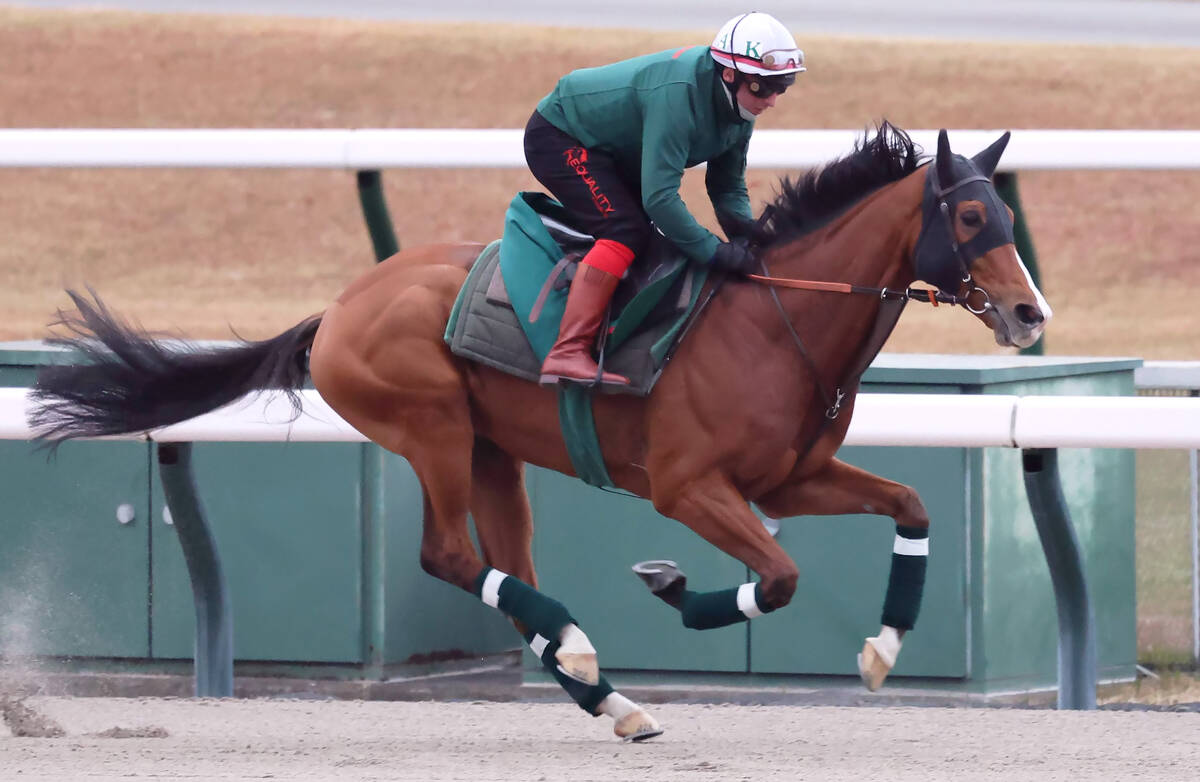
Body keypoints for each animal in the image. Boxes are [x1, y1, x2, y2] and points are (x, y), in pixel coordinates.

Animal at [28, 123, 1050, 741]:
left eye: (1007, 211)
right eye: (968, 214)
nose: (1030, 314)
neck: (776, 320)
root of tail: (340, 307)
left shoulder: (788, 480)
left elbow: (911, 506)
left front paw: (882, 651)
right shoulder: (690, 488)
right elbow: (781, 577)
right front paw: (676, 588)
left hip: (493, 455)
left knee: (510, 572)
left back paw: (610, 692)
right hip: (431, 426)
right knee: (449, 556)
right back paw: (591, 659)